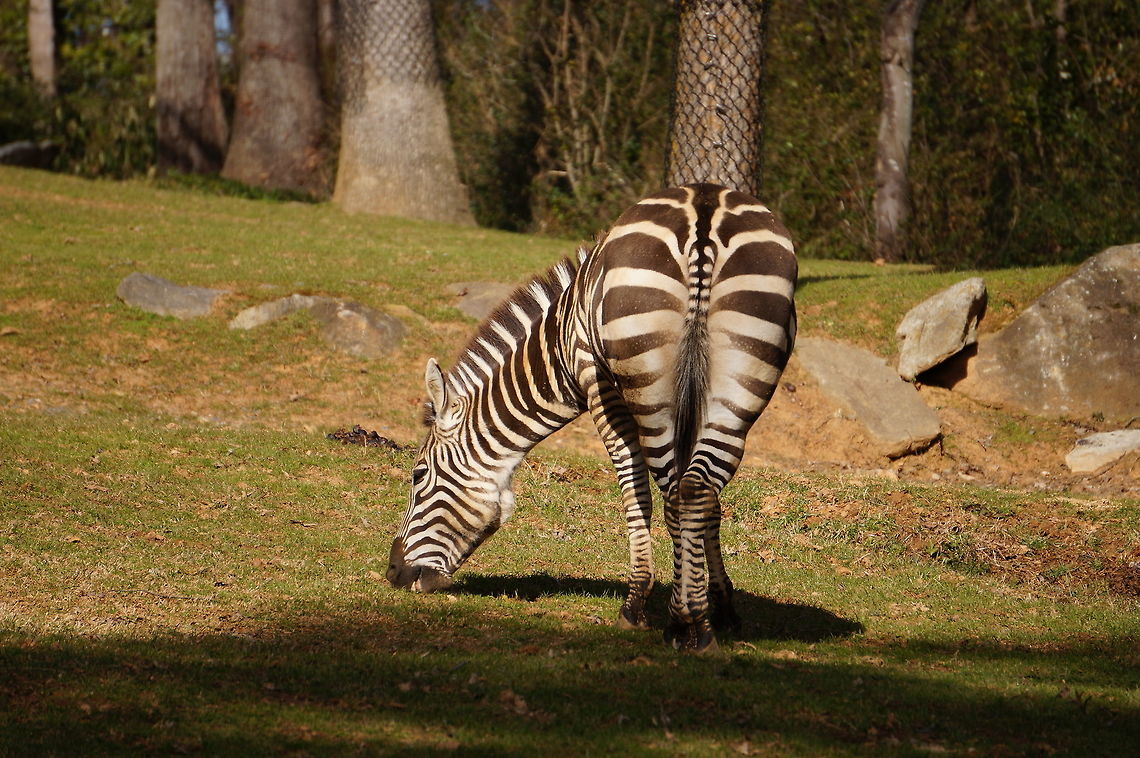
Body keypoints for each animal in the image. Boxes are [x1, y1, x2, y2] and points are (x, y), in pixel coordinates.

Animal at [387, 183, 797, 652]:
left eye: (418, 476)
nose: (392, 573)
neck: (557, 344)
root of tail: (705, 207)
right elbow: (707, 501)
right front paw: (724, 605)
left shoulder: (597, 379)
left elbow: (637, 492)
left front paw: (638, 605)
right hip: (742, 375)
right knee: (695, 489)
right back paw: (697, 623)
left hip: (649, 377)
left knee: (674, 490)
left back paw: (681, 620)